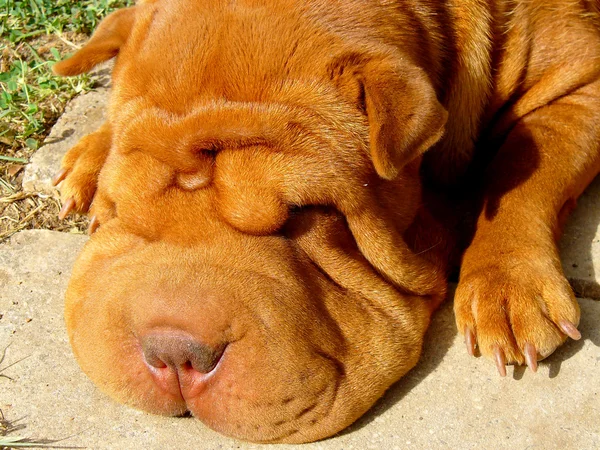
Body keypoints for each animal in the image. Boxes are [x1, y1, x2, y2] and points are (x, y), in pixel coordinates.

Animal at [51, 0, 600, 442]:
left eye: (303, 213)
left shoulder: (582, 79)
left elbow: (529, 164)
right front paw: (96, 159)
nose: (173, 354)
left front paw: (508, 289)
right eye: (118, 206)